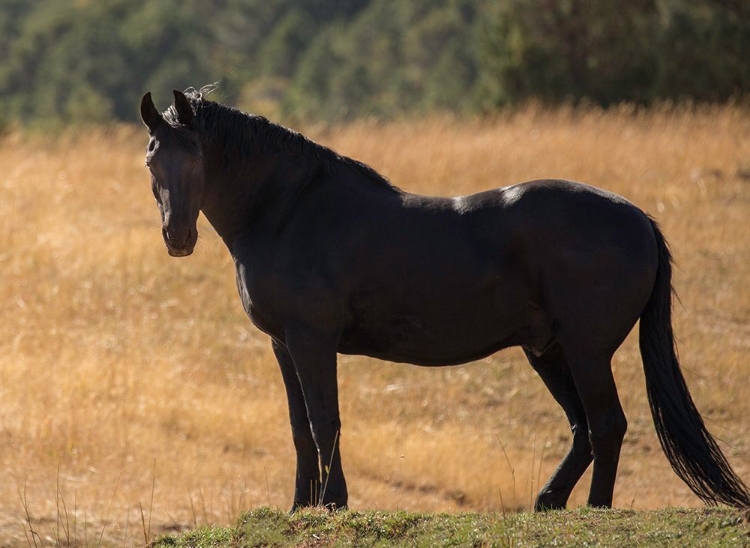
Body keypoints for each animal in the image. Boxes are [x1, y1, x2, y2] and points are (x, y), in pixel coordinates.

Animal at [141, 88, 750, 512]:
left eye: (195, 156)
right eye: (151, 160)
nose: (177, 237)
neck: (288, 210)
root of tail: (640, 218)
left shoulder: (311, 341)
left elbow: (324, 420)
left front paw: (333, 503)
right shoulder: (283, 346)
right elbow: (298, 427)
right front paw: (300, 506)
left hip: (586, 351)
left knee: (606, 424)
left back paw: (596, 511)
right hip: (548, 350)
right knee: (584, 429)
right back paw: (549, 502)